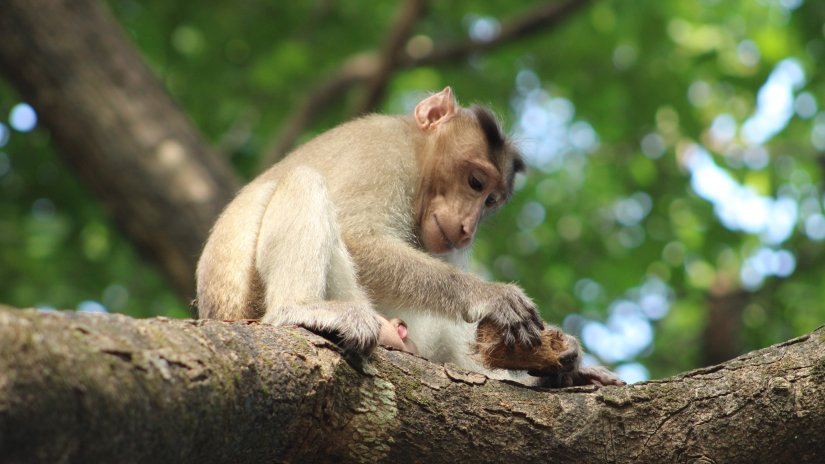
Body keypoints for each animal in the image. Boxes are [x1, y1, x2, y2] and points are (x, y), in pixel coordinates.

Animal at [196, 87, 620, 388]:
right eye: (475, 182)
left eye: (490, 201)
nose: (467, 228)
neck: (419, 155)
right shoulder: (383, 154)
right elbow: (356, 235)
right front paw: (491, 296)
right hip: (252, 301)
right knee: (304, 181)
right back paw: (299, 308)